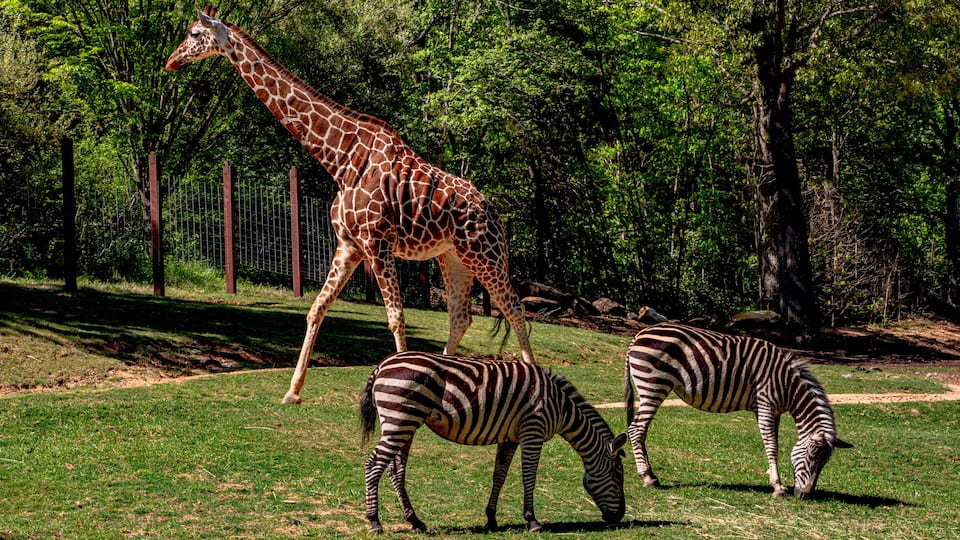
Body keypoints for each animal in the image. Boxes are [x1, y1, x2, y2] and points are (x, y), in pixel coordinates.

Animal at [165, 6, 536, 404]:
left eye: (193, 33)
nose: (171, 60)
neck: (340, 159)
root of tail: (494, 212)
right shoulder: (349, 245)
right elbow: (316, 309)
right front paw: (292, 391)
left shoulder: (377, 242)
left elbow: (395, 317)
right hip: (452, 257)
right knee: (461, 316)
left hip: (484, 254)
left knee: (514, 307)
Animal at [360, 351, 627, 533]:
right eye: (618, 474)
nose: (620, 516)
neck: (560, 406)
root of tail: (381, 365)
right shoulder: (533, 430)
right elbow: (529, 476)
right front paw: (532, 520)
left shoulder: (510, 438)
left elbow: (499, 475)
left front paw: (491, 518)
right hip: (399, 420)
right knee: (373, 465)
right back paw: (374, 521)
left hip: (406, 424)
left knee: (395, 470)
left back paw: (415, 520)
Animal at [623, 322, 852, 498]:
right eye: (812, 457)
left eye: (824, 463)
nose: (804, 495)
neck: (788, 386)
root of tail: (639, 335)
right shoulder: (765, 404)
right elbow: (772, 445)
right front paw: (778, 487)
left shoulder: (774, 411)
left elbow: (774, 443)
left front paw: (774, 479)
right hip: (653, 385)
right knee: (636, 429)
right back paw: (647, 477)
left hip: (651, 387)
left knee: (640, 430)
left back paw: (651, 475)